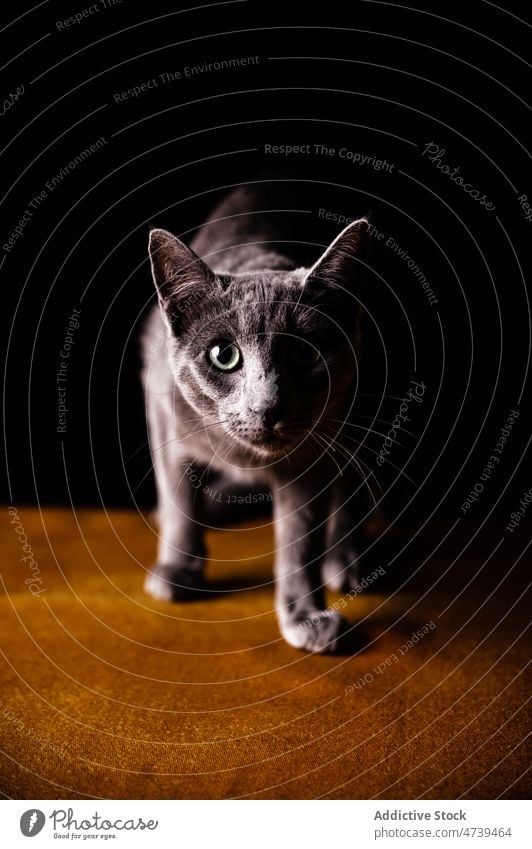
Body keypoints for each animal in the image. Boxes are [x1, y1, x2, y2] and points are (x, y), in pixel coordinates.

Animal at [143, 182, 372, 652]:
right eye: (223, 355)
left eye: (305, 354)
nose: (266, 406)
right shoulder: (161, 407)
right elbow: (176, 496)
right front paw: (177, 570)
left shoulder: (312, 454)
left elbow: (300, 537)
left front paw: (306, 615)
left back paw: (344, 558)